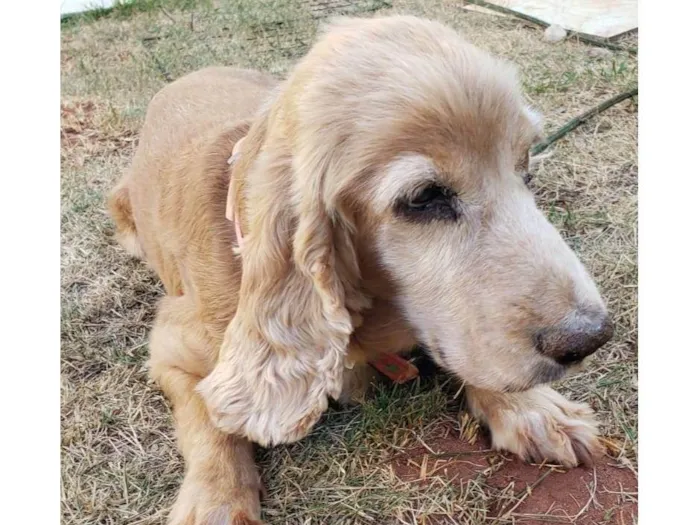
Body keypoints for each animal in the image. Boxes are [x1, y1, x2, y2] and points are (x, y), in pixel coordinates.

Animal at [108, 14, 612, 520]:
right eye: (424, 197)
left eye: (525, 166)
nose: (590, 338)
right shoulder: (172, 344)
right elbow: (208, 421)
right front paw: (215, 500)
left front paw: (533, 409)